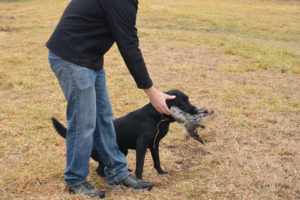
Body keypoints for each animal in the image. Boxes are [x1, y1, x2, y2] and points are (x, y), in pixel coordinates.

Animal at [52, 90, 206, 179]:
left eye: (188, 99)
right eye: (182, 102)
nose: (197, 110)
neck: (157, 117)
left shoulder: (154, 144)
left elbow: (157, 161)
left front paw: (161, 172)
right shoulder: (141, 145)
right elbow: (140, 165)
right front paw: (139, 179)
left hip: (123, 151)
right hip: (106, 155)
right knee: (99, 169)